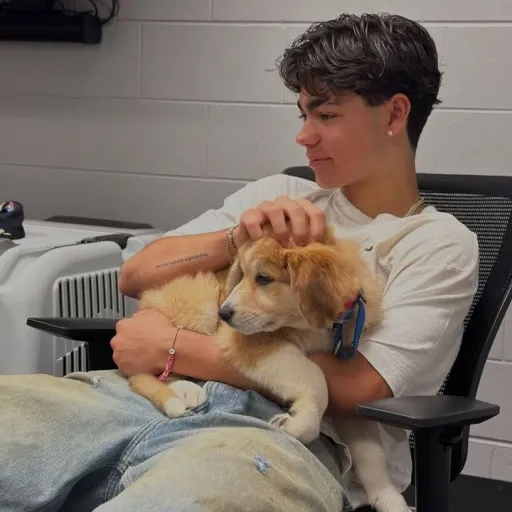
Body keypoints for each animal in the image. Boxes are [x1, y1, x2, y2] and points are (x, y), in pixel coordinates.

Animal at [128, 227, 409, 512]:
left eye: (264, 278)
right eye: (241, 274)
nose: (223, 313)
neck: (311, 327)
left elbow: (370, 450)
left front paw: (388, 497)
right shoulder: (249, 343)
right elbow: (314, 377)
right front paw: (300, 424)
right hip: (199, 299)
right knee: (142, 371)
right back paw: (183, 392)